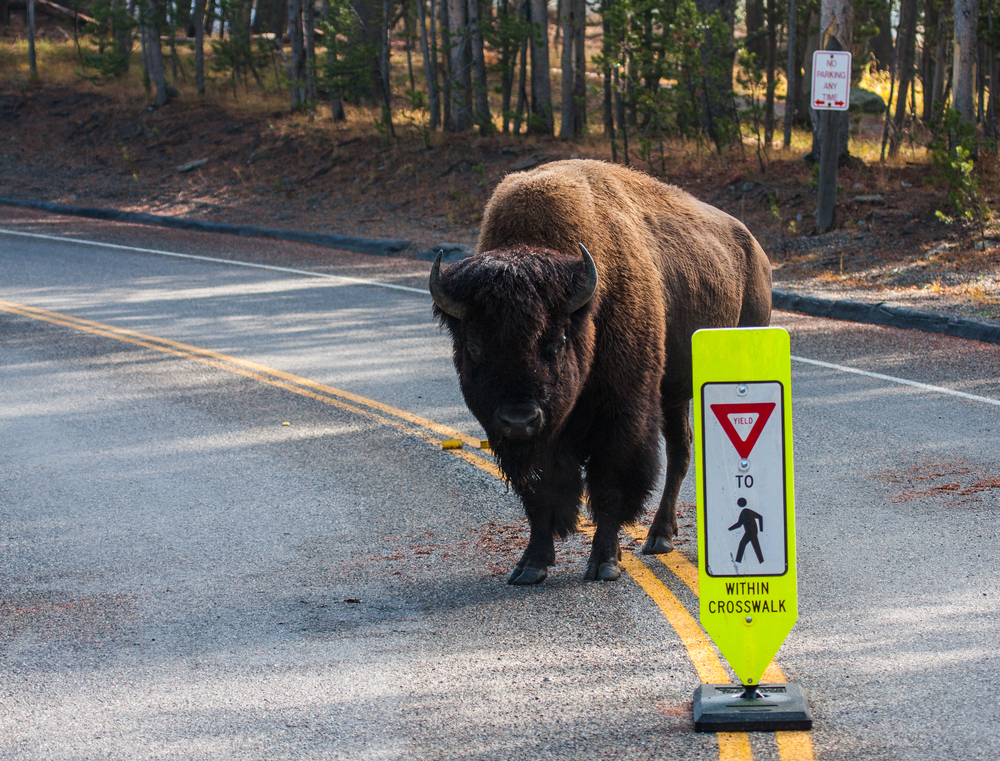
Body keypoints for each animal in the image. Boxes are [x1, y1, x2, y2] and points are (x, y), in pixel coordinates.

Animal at [430, 159, 772, 580]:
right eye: (474, 346)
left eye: (557, 340)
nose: (520, 419)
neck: (587, 311)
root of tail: (754, 251)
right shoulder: (532, 442)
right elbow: (539, 495)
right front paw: (530, 566)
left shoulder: (622, 415)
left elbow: (610, 486)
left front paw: (605, 562)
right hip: (674, 393)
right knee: (681, 447)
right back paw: (661, 535)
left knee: (683, 452)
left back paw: (658, 537)